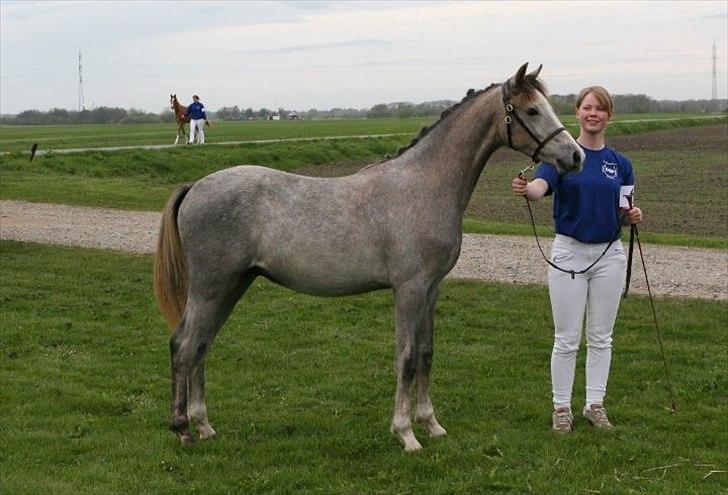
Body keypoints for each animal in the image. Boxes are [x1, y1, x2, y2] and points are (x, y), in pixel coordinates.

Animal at [156, 64, 584, 452]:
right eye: (532, 111)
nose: (576, 156)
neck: (424, 185)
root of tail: (196, 186)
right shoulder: (409, 289)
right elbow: (406, 357)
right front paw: (406, 433)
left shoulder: (432, 289)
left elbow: (426, 353)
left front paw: (431, 424)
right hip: (212, 288)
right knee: (184, 344)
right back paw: (181, 428)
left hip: (232, 286)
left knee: (201, 345)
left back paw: (203, 425)